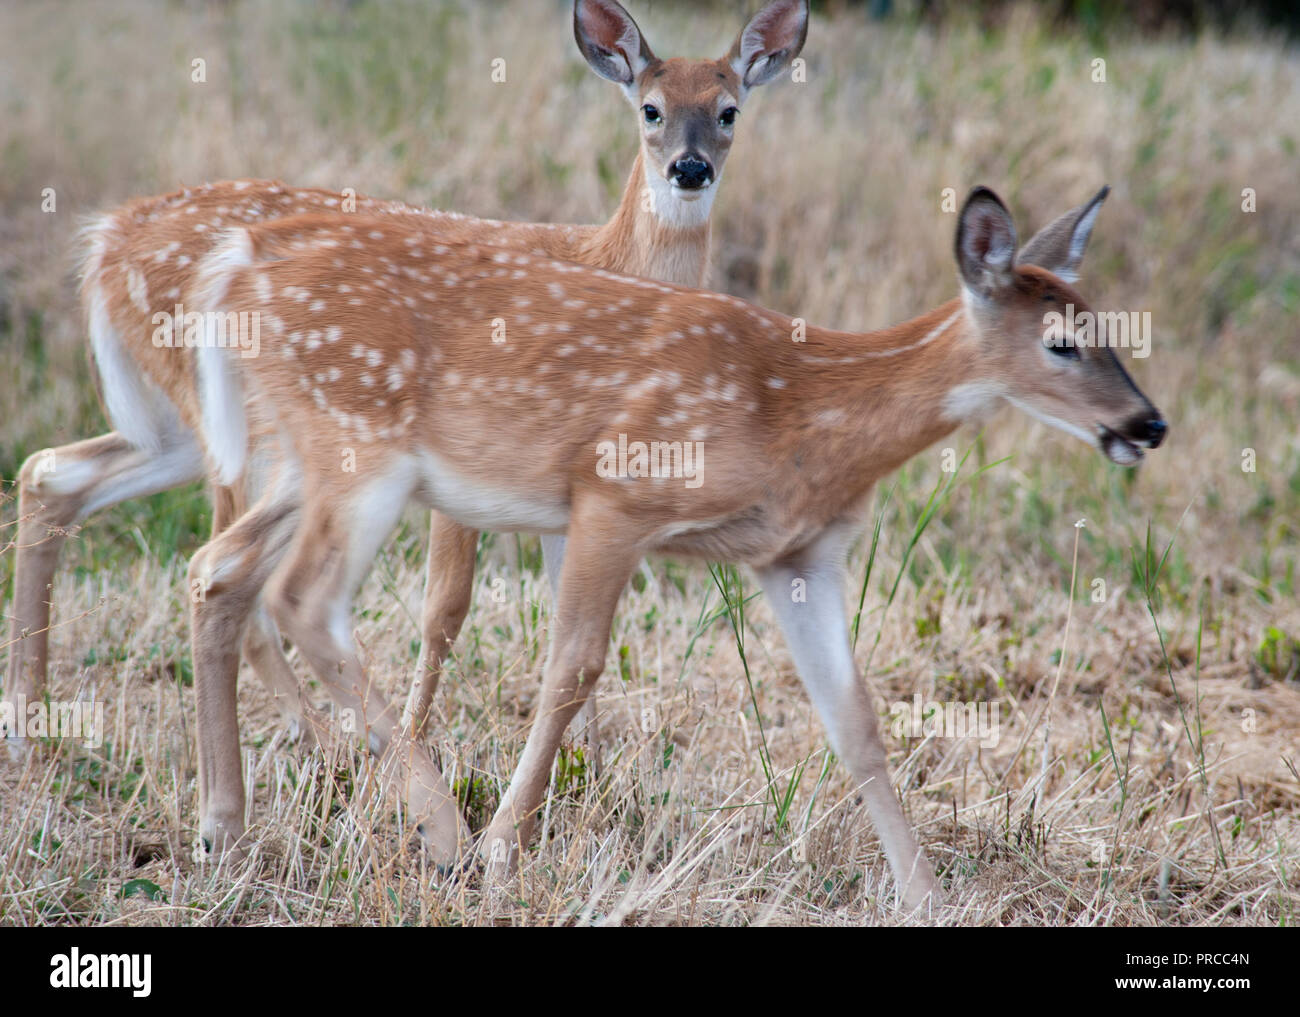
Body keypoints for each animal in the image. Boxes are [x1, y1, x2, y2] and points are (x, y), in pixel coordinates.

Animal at [3, 0, 810, 759]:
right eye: (651, 109)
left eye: (728, 110)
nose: (690, 169)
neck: (604, 259)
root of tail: (106, 241)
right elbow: (445, 607)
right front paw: (426, 735)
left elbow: (564, 610)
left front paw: (584, 764)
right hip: (252, 431)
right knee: (228, 572)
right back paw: (324, 741)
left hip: (180, 422)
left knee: (55, 472)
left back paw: (31, 717)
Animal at [183, 184, 1166, 911]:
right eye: (1063, 342)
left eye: (1107, 326)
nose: (1146, 424)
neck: (804, 413)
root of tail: (235, 271)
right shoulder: (614, 494)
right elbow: (572, 668)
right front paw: (503, 850)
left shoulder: (796, 554)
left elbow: (854, 719)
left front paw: (926, 895)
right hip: (359, 443)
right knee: (302, 597)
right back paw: (438, 830)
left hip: (303, 460)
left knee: (216, 570)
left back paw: (223, 829)